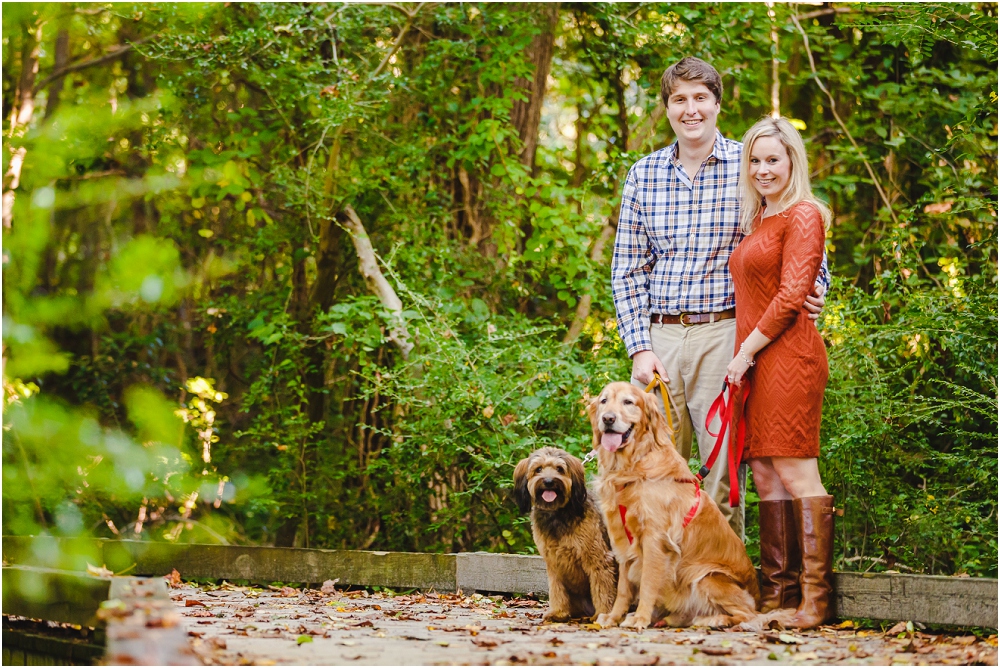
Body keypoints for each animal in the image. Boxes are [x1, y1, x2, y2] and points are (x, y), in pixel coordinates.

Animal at [516, 448, 616, 620]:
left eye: (559, 469)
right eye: (538, 469)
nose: (549, 481)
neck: (557, 514)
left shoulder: (598, 558)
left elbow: (602, 589)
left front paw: (602, 614)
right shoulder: (553, 562)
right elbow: (556, 590)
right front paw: (558, 612)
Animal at [584, 384, 756, 628]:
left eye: (628, 402)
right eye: (603, 401)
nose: (608, 419)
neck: (631, 467)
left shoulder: (655, 538)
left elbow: (647, 582)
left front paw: (640, 618)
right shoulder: (623, 540)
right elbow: (623, 589)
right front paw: (613, 617)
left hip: (707, 577)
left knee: (750, 614)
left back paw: (714, 619)